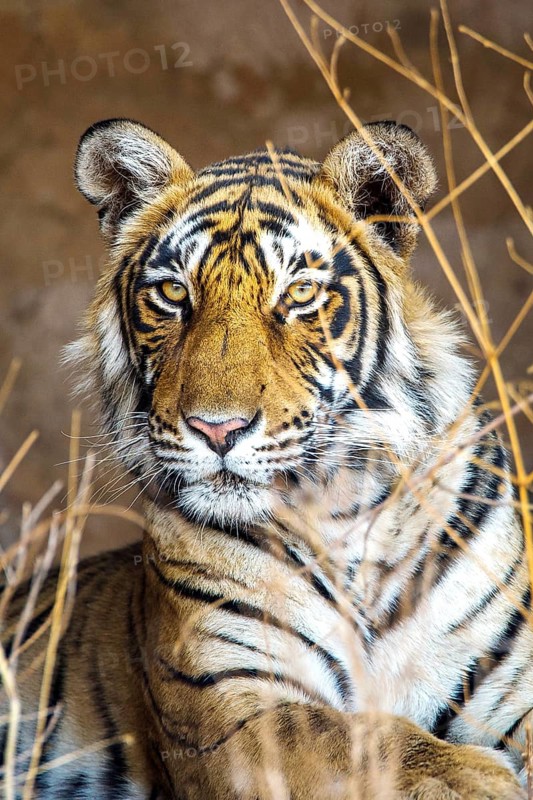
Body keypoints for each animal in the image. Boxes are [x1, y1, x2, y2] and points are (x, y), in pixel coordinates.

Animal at [1, 117, 531, 800]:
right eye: (172, 292)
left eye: (299, 293)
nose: (216, 428)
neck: (344, 513)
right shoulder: (233, 710)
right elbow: (362, 738)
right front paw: (478, 776)